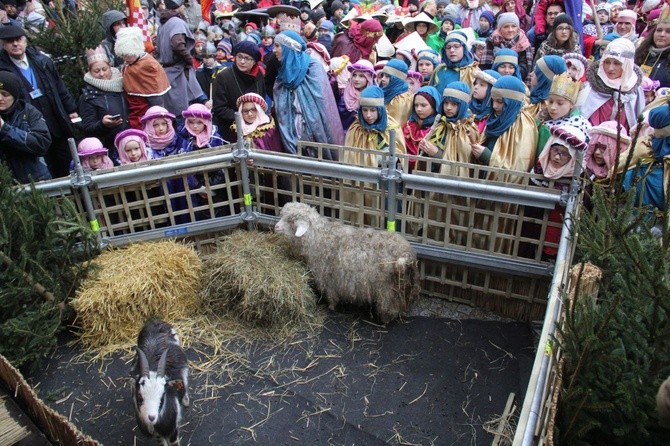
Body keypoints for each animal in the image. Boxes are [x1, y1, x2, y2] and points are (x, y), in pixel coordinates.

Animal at [133, 318, 189, 446]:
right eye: (140, 396)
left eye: (162, 396)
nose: (151, 417)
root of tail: (156, 322)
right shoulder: (156, 435)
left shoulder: (172, 430)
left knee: (184, 380)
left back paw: (185, 400)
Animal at [272, 203, 420, 324]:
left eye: (291, 221)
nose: (276, 227)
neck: (318, 239)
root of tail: (406, 254)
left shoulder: (329, 280)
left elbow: (331, 297)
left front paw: (331, 307)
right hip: (404, 286)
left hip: (387, 290)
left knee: (389, 307)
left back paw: (385, 320)